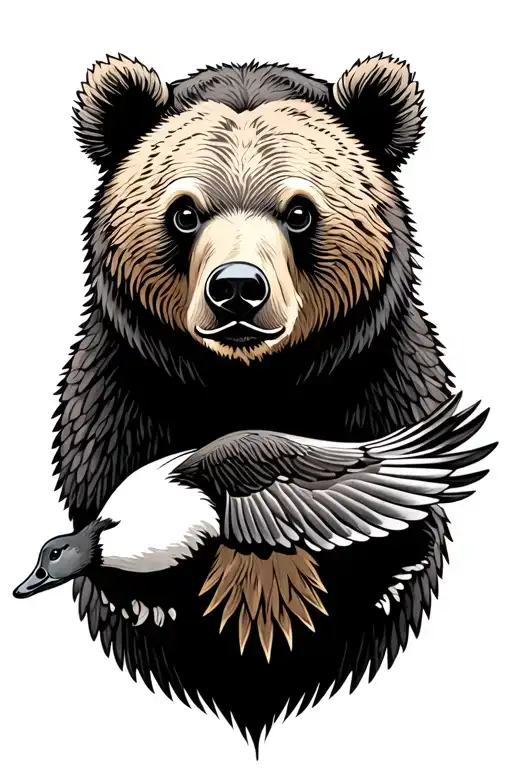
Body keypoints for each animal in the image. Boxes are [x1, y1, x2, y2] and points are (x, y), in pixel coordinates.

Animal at [54, 53, 453, 750]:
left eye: (299, 211)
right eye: (184, 212)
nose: (237, 289)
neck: (250, 385)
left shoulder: (381, 388)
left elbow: (393, 543)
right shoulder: (125, 406)